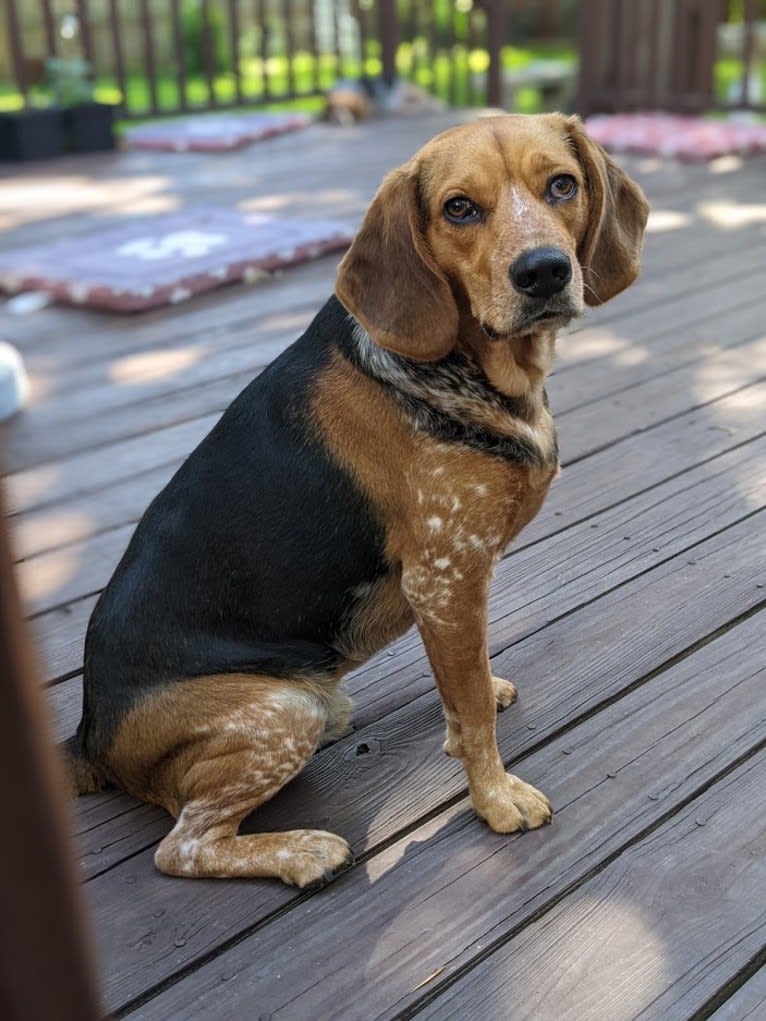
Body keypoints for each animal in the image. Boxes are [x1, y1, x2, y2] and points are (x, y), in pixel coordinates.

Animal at [65, 113, 649, 886]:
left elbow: (464, 690)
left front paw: (475, 712)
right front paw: (495, 800)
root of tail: (88, 735)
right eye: (458, 208)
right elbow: (475, 718)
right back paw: (305, 850)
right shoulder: (444, 578)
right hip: (284, 709)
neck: (469, 369)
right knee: (181, 845)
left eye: (562, 185)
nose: (545, 270)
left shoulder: (449, 597)